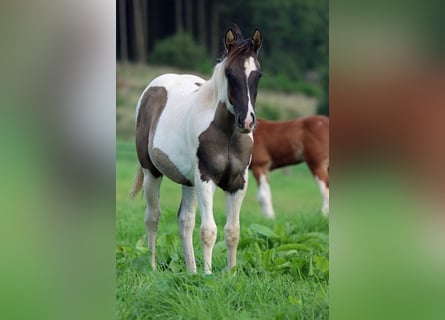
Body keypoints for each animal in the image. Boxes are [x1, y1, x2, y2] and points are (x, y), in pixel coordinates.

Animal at [128, 26, 262, 274]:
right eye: (229, 73)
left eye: (258, 74)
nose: (246, 121)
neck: (226, 133)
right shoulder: (205, 179)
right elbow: (209, 231)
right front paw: (208, 275)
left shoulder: (238, 183)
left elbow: (232, 231)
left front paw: (231, 274)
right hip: (152, 172)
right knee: (153, 217)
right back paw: (152, 267)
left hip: (188, 183)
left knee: (185, 221)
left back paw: (191, 271)